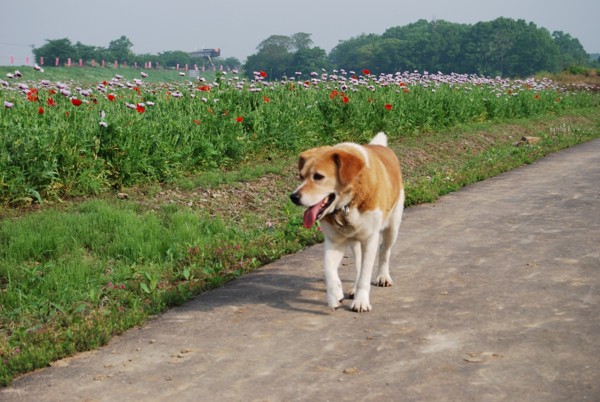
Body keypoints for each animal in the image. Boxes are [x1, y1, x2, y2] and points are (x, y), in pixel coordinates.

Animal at [290, 133, 404, 312]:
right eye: (301, 177)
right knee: (358, 262)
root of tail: (381, 146)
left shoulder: (369, 240)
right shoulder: (334, 241)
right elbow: (328, 269)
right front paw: (335, 295)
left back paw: (383, 277)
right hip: (355, 241)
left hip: (392, 228)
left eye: (318, 176)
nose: (293, 197)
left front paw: (361, 301)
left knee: (384, 250)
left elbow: (365, 274)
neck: (347, 204)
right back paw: (354, 288)